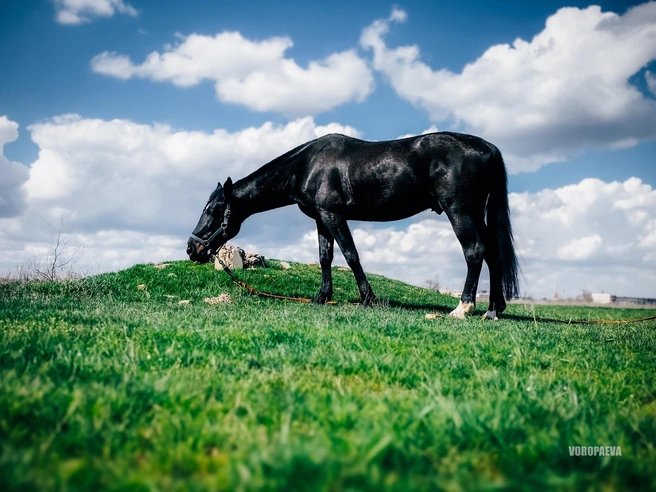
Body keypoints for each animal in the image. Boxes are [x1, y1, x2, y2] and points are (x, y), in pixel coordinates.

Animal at [187, 131, 519, 319]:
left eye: (215, 210)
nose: (192, 249)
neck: (306, 165)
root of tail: (489, 148)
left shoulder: (334, 216)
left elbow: (351, 255)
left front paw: (367, 299)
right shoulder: (321, 219)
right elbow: (325, 257)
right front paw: (322, 297)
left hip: (460, 212)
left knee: (475, 252)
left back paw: (463, 308)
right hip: (476, 214)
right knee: (493, 255)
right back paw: (493, 310)